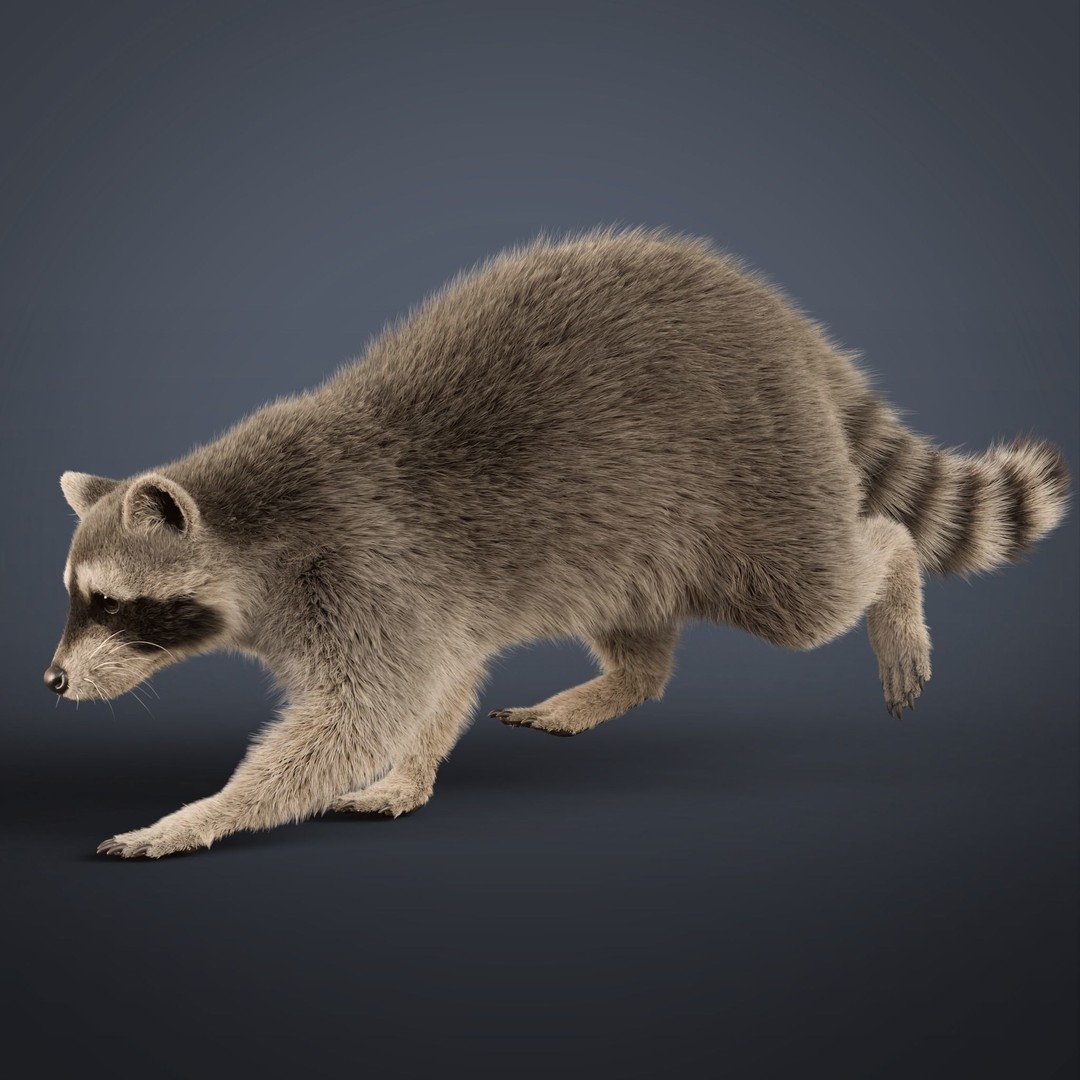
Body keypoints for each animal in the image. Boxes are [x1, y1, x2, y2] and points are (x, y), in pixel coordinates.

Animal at [47, 227, 1070, 858]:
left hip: (758, 471)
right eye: (75, 597)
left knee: (817, 589)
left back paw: (891, 581)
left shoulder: (361, 565)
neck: (248, 522)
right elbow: (438, 682)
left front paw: (200, 816)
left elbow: (359, 714)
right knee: (644, 627)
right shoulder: (425, 599)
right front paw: (411, 771)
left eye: (112, 603)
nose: (53, 681)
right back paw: (623, 680)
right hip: (630, 536)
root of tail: (780, 319)